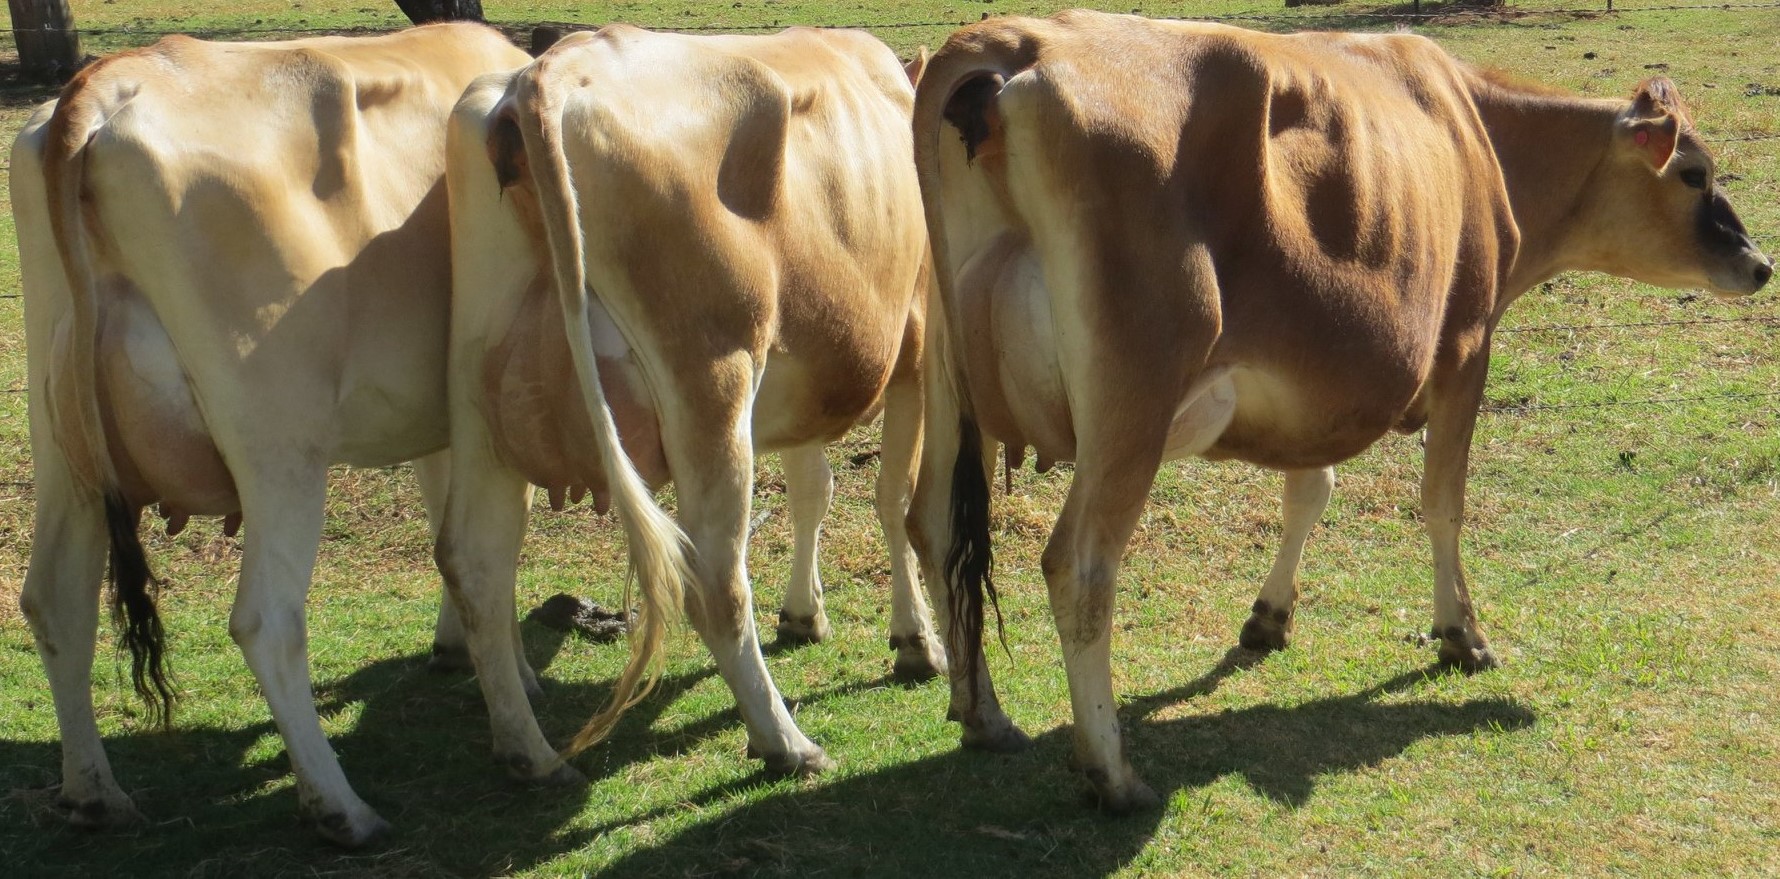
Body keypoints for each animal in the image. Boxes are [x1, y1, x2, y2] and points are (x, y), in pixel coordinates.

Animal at [12, 25, 526, 843]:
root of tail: (114, 78)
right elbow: (486, 543)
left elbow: (448, 523)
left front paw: (461, 647)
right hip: (280, 447)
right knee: (266, 620)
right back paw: (343, 808)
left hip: (64, 444)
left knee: (55, 601)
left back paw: (94, 792)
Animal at [911, 10, 1772, 814]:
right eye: (1694, 173)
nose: (1761, 263)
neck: (1482, 138)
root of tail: (1013, 41)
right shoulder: (1465, 348)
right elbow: (1443, 504)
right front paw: (1462, 633)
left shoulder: (1318, 383)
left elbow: (1309, 492)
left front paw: (1269, 617)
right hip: (1134, 398)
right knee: (1080, 564)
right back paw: (1112, 772)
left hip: (948, 385)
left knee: (937, 527)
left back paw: (983, 713)